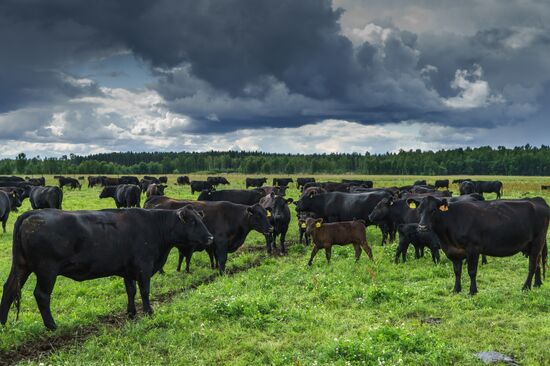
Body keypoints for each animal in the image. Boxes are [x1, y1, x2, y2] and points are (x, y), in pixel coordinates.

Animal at [0, 206, 213, 328]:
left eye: (201, 219)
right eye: (192, 221)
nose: (210, 237)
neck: (155, 226)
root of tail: (32, 213)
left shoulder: (128, 269)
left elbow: (131, 290)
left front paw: (131, 313)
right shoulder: (144, 266)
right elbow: (144, 290)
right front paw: (149, 312)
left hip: (21, 266)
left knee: (9, 289)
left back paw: (3, 323)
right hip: (47, 270)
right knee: (41, 295)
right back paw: (52, 325)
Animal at [144, 196, 274, 274]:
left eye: (265, 213)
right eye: (258, 215)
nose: (271, 228)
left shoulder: (215, 245)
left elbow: (216, 258)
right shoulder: (221, 242)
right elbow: (222, 259)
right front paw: (222, 274)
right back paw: (161, 272)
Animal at [412, 194, 548, 294]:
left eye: (433, 210)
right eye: (419, 210)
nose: (422, 227)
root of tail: (537, 200)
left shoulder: (473, 248)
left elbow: (471, 271)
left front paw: (472, 291)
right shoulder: (454, 251)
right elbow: (457, 271)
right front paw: (456, 289)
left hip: (537, 241)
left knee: (532, 265)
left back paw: (526, 287)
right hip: (533, 245)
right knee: (538, 262)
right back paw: (537, 284)